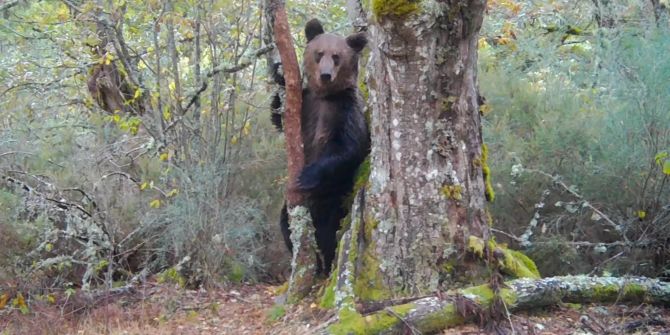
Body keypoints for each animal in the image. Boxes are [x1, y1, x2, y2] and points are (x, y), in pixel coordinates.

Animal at [272, 19, 370, 276]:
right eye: (319, 54)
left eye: (336, 56)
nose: (325, 75)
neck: (326, 97)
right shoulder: (306, 105)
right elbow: (278, 118)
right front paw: (279, 74)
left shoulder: (346, 111)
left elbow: (348, 148)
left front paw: (307, 175)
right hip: (292, 207)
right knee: (286, 223)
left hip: (336, 197)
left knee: (330, 231)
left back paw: (324, 265)